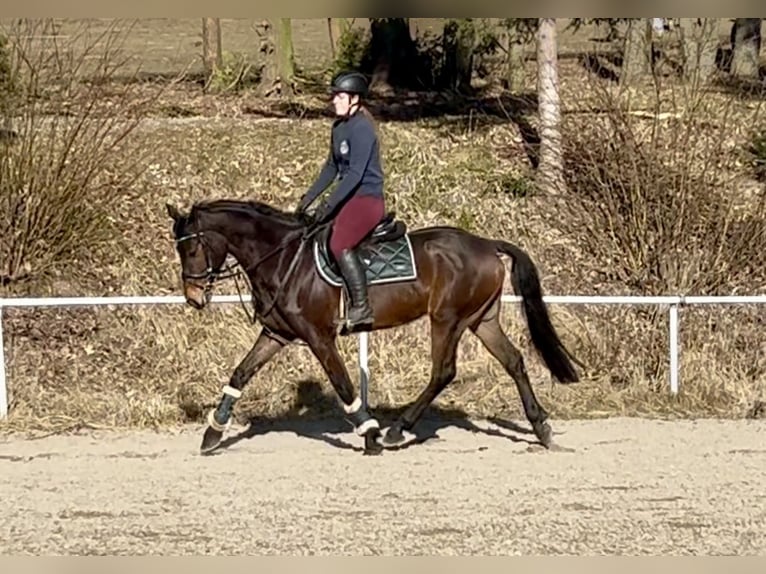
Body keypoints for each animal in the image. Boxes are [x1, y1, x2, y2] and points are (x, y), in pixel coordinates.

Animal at [164, 199, 584, 460]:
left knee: (443, 372)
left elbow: (343, 385)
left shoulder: (319, 337)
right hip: (482, 319)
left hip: (447, 319)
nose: (194, 298)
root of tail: (484, 243)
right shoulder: (276, 334)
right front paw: (213, 433)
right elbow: (241, 373)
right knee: (514, 362)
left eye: (192, 249)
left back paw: (398, 430)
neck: (284, 258)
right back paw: (542, 428)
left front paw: (368, 434)